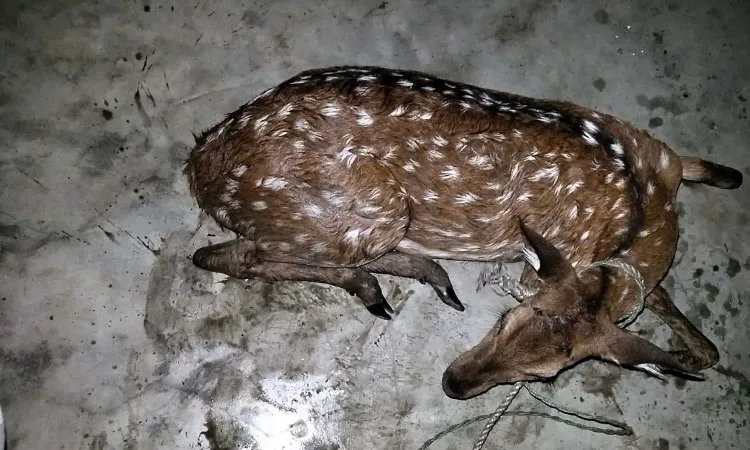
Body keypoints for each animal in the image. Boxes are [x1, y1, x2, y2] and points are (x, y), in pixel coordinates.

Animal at [184, 65, 743, 400]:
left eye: (543, 375)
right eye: (503, 320)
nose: (452, 384)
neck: (641, 209)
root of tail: (200, 159)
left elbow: (698, 335)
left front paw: (690, 352)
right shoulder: (543, 266)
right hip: (377, 208)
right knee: (224, 256)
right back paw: (400, 279)